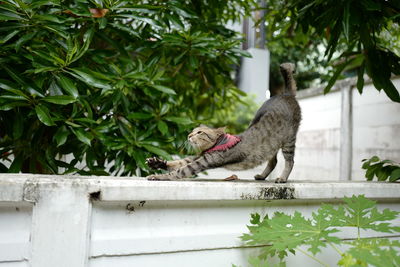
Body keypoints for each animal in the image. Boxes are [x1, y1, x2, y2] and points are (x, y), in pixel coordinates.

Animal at [146, 63, 300, 184]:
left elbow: (180, 170)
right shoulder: (197, 157)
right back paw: (262, 176)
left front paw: (159, 176)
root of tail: (286, 94)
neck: (214, 146)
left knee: (290, 161)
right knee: (273, 161)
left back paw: (282, 178)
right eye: (192, 130)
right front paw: (157, 162)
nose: (189, 135)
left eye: (199, 132)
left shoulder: (203, 161)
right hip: (272, 146)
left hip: (289, 140)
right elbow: (178, 162)